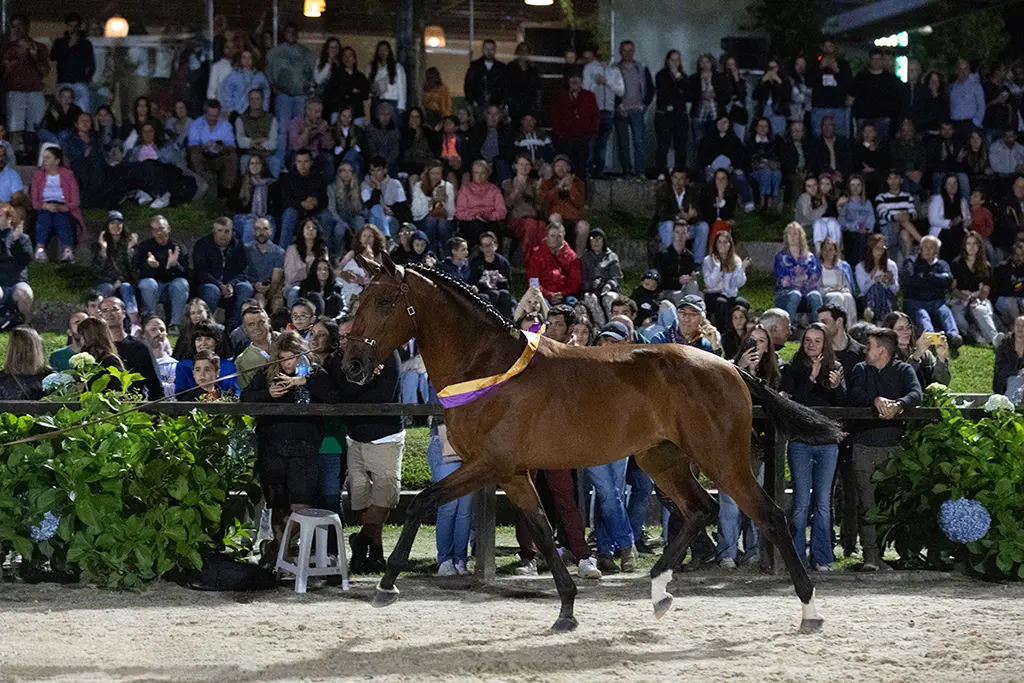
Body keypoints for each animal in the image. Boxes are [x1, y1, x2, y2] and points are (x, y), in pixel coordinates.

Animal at [341, 254, 845, 633]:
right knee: (700, 508)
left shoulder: (489, 464)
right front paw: (566, 609)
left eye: (384, 299)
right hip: (660, 458)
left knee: (770, 515)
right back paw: (659, 591)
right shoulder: (515, 473)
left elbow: (423, 501)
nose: (352, 365)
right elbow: (545, 533)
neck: (487, 365)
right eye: (359, 298)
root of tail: (732, 367)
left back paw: (810, 611)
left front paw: (386, 586)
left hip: (723, 459)